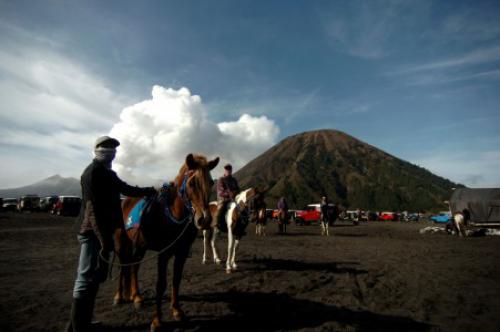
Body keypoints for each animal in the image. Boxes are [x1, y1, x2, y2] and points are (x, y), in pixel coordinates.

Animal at [114, 154, 218, 330]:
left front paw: (177, 310)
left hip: (140, 246)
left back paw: (136, 297)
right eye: (191, 183)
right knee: (123, 267)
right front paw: (157, 320)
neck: (173, 216)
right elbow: (161, 284)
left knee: (134, 267)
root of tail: (123, 202)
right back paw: (119, 296)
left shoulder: (182, 253)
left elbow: (176, 279)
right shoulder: (163, 253)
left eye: (211, 182)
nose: (204, 220)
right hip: (122, 244)